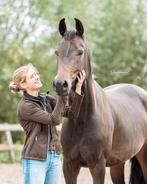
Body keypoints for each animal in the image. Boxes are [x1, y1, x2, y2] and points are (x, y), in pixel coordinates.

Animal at [53, 17, 147, 184]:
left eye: (80, 51)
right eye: (57, 52)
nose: (60, 84)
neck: (82, 119)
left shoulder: (97, 166)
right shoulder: (69, 166)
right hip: (117, 164)